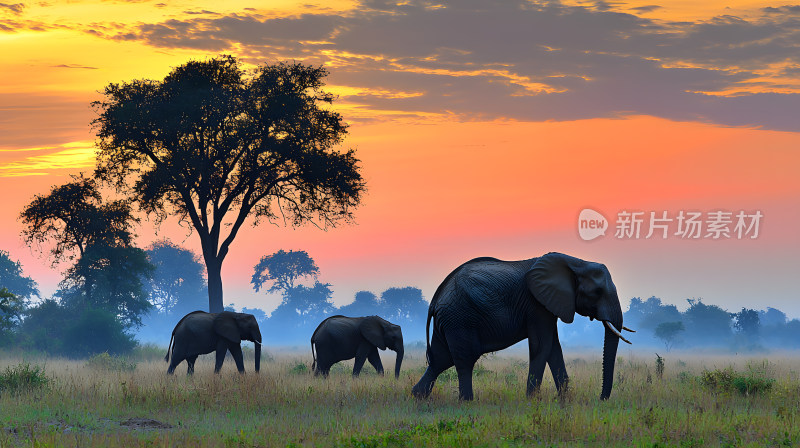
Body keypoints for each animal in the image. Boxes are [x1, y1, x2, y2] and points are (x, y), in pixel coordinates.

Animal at [412, 250, 632, 400]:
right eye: (597, 292)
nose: (601, 399)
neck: (576, 262)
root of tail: (435, 299)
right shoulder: (536, 305)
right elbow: (542, 346)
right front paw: (533, 400)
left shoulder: (548, 305)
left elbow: (554, 347)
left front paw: (564, 400)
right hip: (460, 318)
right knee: (464, 359)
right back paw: (466, 401)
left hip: (450, 321)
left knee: (441, 359)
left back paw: (418, 396)